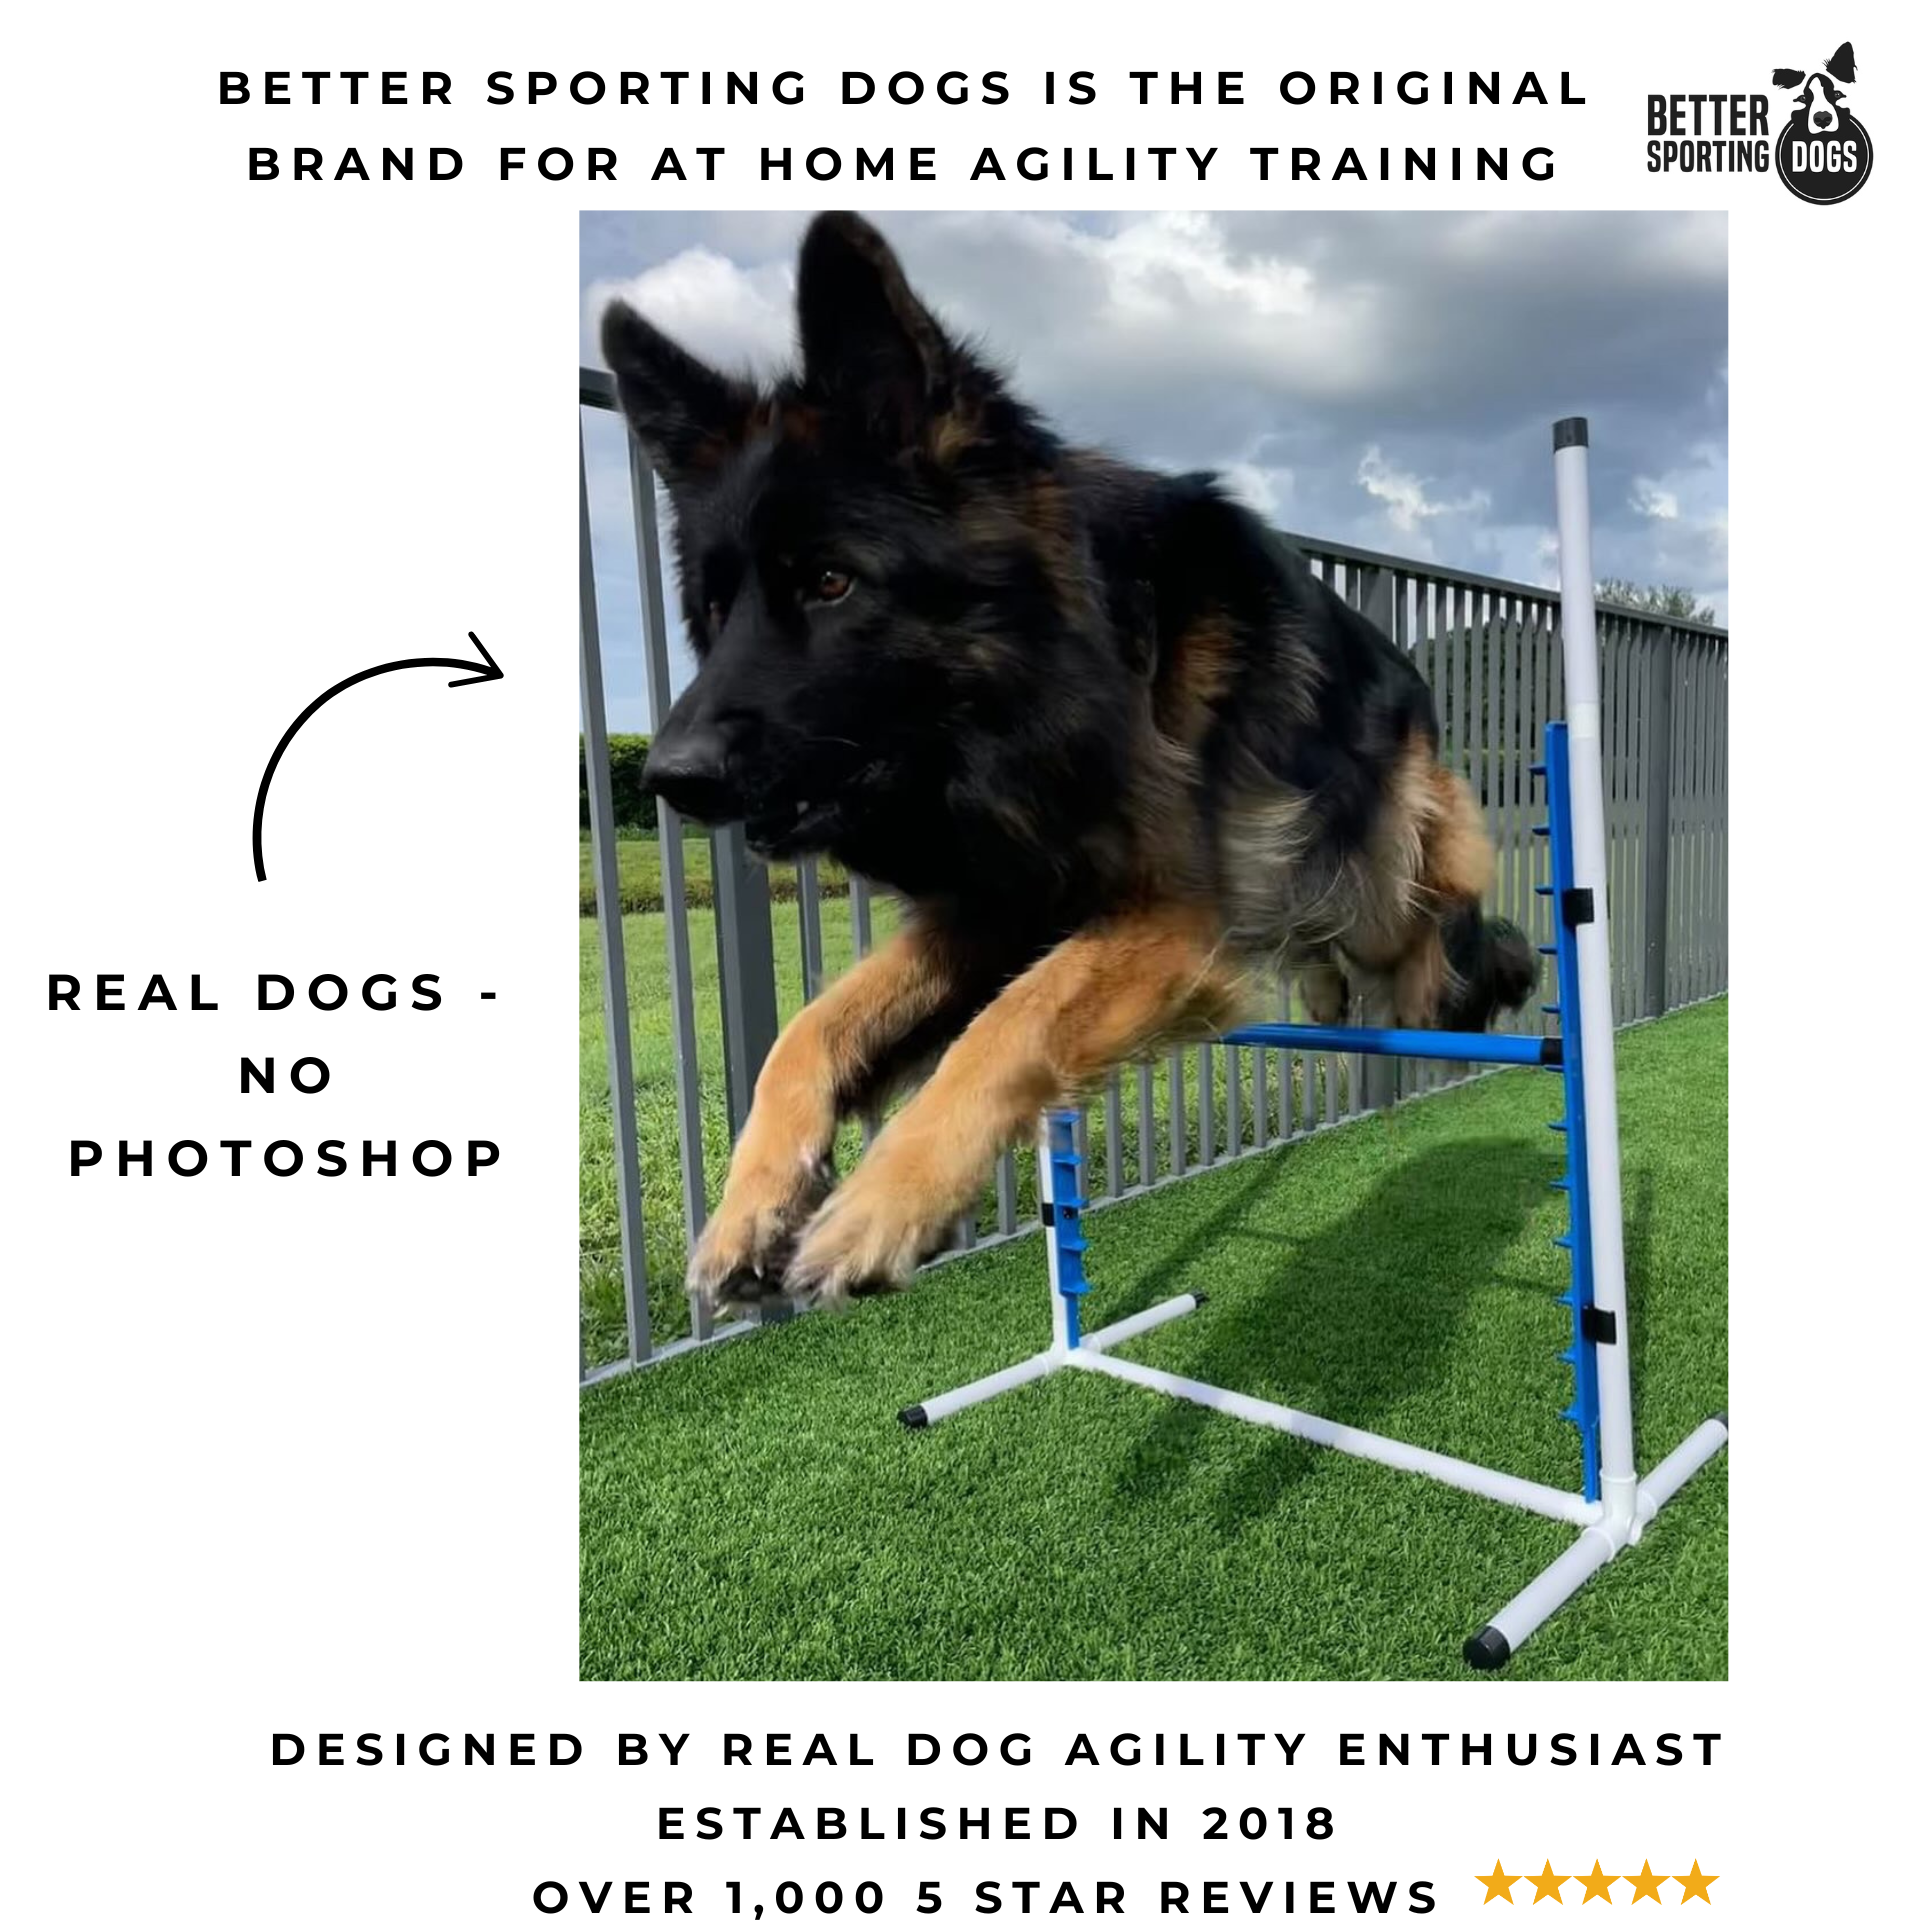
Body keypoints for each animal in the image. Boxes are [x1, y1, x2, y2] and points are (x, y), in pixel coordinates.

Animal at [606, 217, 1536, 1313]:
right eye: (714, 612)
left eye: (832, 582)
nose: (669, 779)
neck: (1057, 690)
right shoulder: (994, 905)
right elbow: (811, 1029)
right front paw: (749, 1205)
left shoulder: (1167, 921)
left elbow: (1014, 1022)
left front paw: (886, 1203)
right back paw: (1321, 989)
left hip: (1393, 859)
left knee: (1443, 923)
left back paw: (1453, 976)